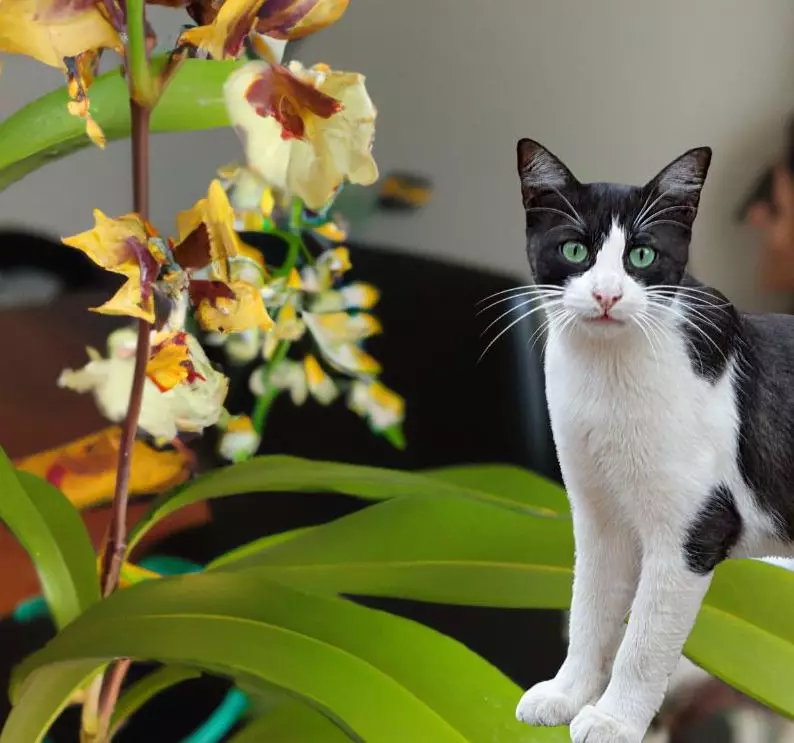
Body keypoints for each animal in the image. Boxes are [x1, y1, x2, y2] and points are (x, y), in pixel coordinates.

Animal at [512, 141, 794, 743]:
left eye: (642, 256)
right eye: (574, 250)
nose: (606, 294)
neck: (608, 383)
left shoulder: (693, 532)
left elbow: (643, 641)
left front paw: (613, 719)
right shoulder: (598, 518)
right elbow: (589, 608)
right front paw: (567, 694)